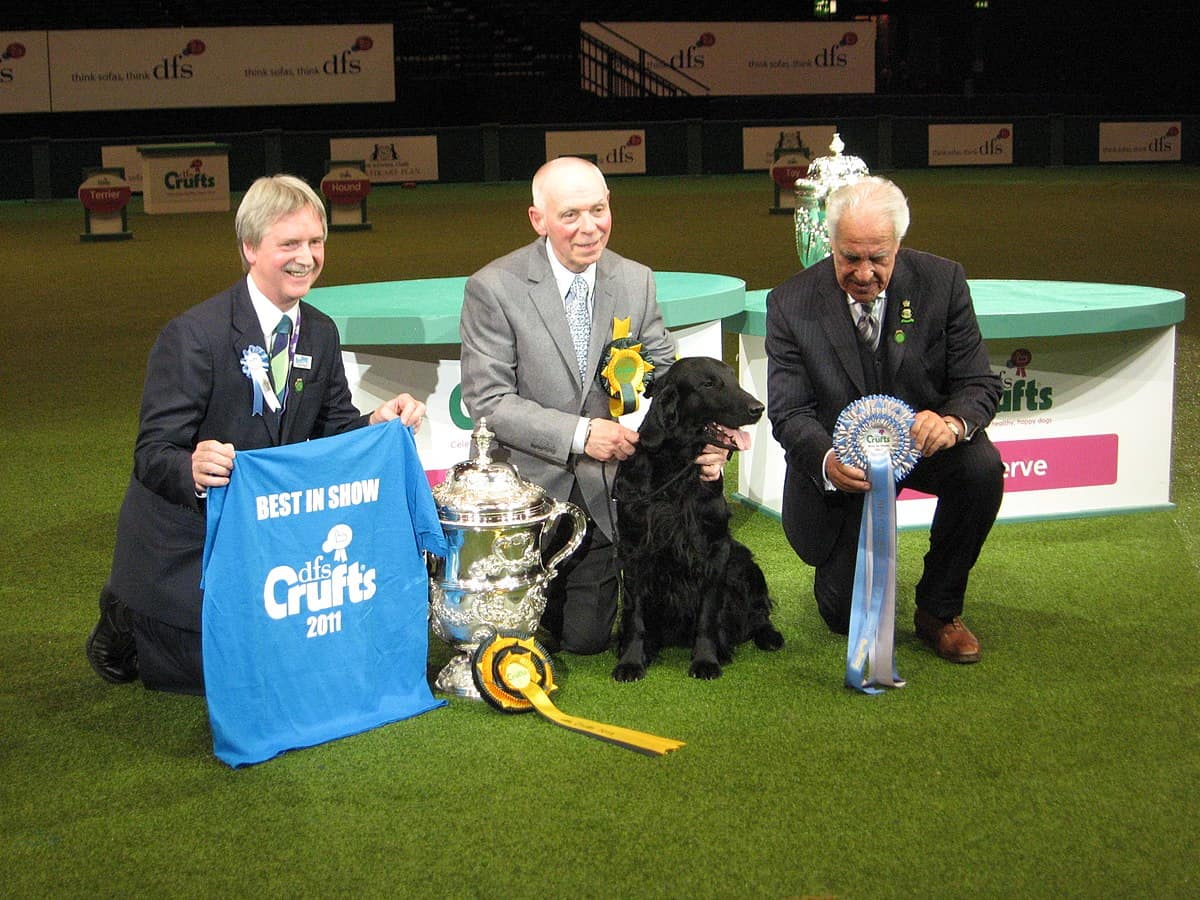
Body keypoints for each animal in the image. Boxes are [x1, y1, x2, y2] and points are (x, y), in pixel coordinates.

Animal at [609, 355, 787, 681]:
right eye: (708, 384)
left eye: (733, 379)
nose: (758, 408)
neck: (677, 469)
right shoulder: (635, 549)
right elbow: (634, 613)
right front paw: (631, 660)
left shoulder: (715, 548)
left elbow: (708, 614)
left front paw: (706, 659)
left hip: (745, 562)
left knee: (758, 611)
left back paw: (768, 635)